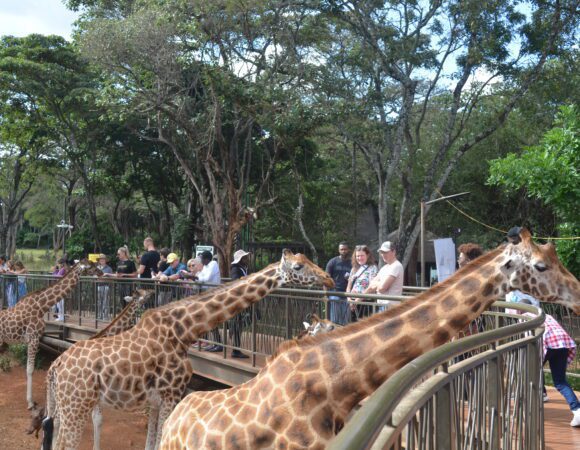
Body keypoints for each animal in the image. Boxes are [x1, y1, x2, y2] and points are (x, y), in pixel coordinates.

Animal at [0, 258, 101, 410]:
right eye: (91, 266)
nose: (101, 272)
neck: (42, 306)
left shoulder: (33, 339)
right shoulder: (33, 338)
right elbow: (30, 369)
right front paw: (30, 403)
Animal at [42, 250, 336, 450]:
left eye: (308, 260)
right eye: (298, 266)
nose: (330, 279)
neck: (184, 331)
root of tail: (55, 369)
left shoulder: (156, 399)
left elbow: (151, 443)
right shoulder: (172, 393)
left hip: (66, 406)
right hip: (76, 405)